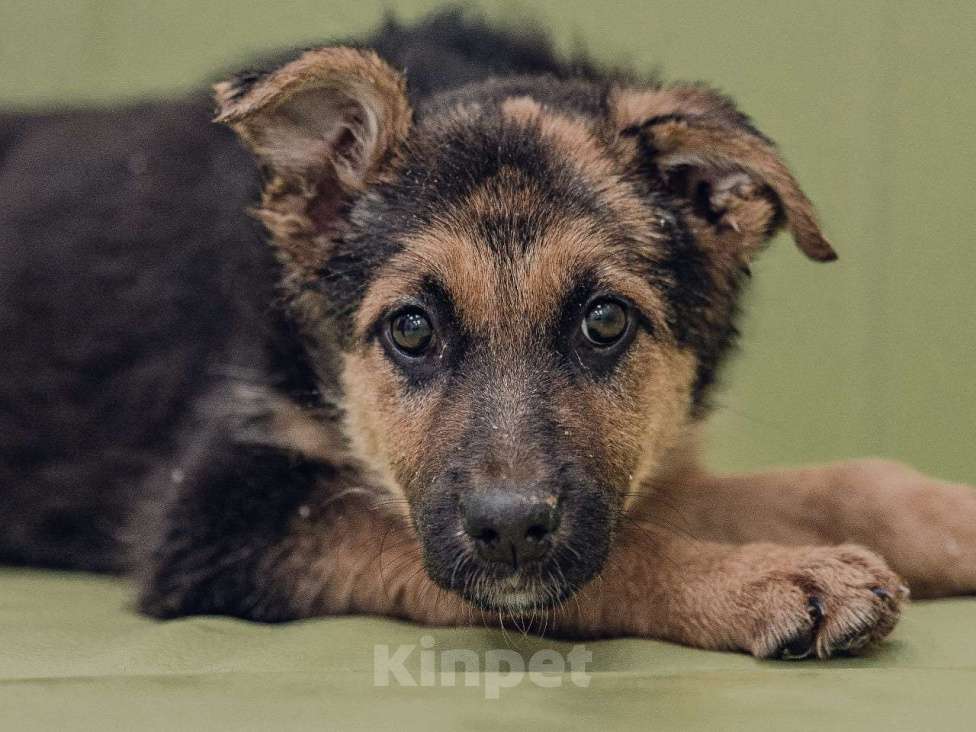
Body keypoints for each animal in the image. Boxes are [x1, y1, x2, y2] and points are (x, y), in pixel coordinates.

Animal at [1, 10, 976, 664]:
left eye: (605, 321)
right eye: (411, 329)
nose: (509, 530)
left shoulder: (625, 472)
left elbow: (813, 485)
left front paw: (942, 519)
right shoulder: (216, 513)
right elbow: (617, 559)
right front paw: (773, 580)